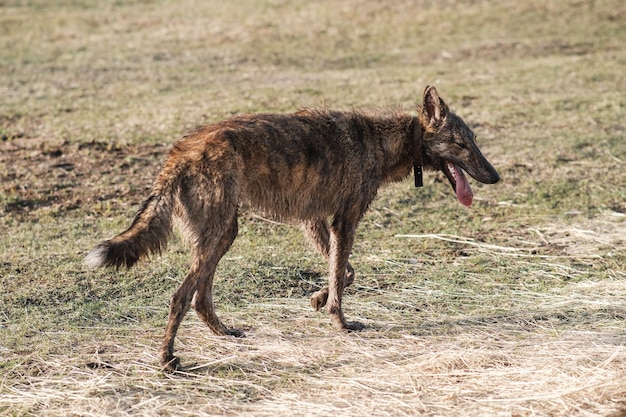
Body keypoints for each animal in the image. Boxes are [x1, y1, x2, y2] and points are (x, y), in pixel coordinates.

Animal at [85, 85, 500, 370]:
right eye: (461, 144)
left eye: (474, 140)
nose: (495, 177)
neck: (383, 139)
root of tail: (178, 153)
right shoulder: (344, 222)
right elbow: (342, 274)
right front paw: (340, 322)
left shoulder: (316, 222)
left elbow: (344, 272)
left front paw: (319, 300)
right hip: (218, 236)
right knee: (180, 297)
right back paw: (168, 359)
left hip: (222, 235)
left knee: (200, 297)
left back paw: (222, 333)